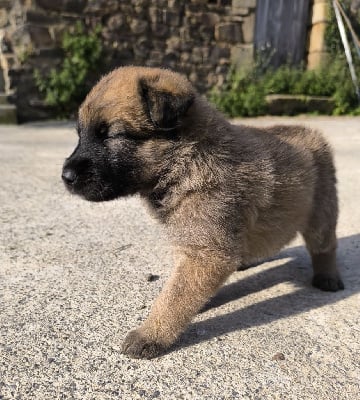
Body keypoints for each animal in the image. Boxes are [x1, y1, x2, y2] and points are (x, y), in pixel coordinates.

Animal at [62, 65, 344, 360]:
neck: (187, 160)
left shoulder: (207, 254)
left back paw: (328, 276)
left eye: (111, 136)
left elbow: (176, 295)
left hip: (322, 213)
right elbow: (183, 285)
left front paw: (151, 334)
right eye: (80, 134)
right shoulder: (194, 245)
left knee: (325, 246)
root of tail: (311, 131)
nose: (65, 176)